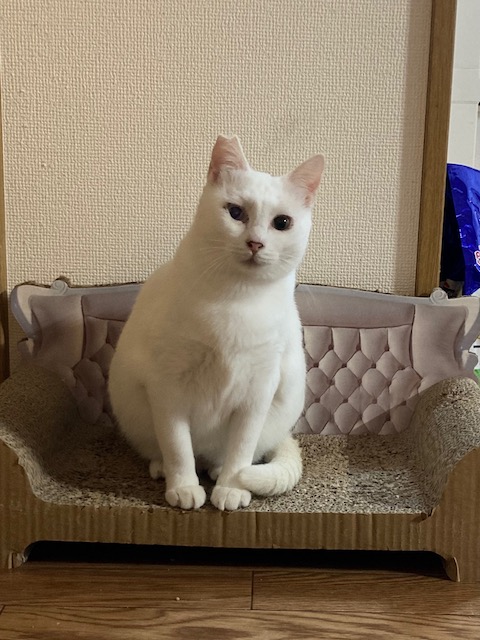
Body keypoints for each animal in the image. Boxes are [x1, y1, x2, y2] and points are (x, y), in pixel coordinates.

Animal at [108, 135, 324, 511]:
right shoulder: (167, 386)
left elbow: (241, 450)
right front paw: (183, 487)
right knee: (172, 452)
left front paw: (232, 488)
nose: (255, 242)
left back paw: (219, 471)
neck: (236, 299)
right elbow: (178, 446)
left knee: (227, 457)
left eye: (282, 223)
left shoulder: (258, 390)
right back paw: (165, 469)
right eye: (235, 212)